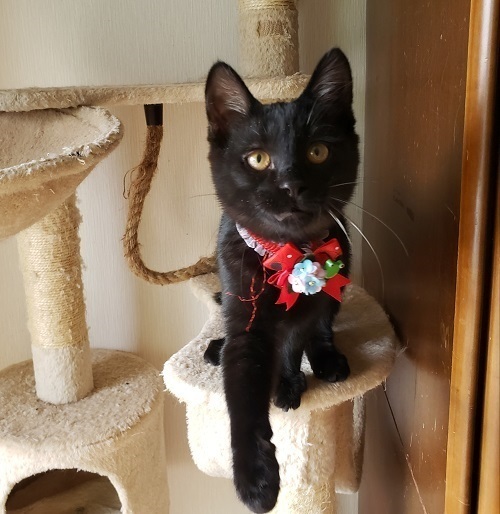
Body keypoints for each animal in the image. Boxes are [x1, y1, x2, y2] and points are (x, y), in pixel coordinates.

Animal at [203, 48, 359, 513]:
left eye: (318, 151)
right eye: (258, 158)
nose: (292, 184)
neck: (287, 257)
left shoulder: (308, 308)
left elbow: (294, 342)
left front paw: (288, 384)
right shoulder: (244, 315)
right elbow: (241, 391)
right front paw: (255, 479)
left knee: (323, 327)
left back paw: (326, 361)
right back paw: (214, 349)